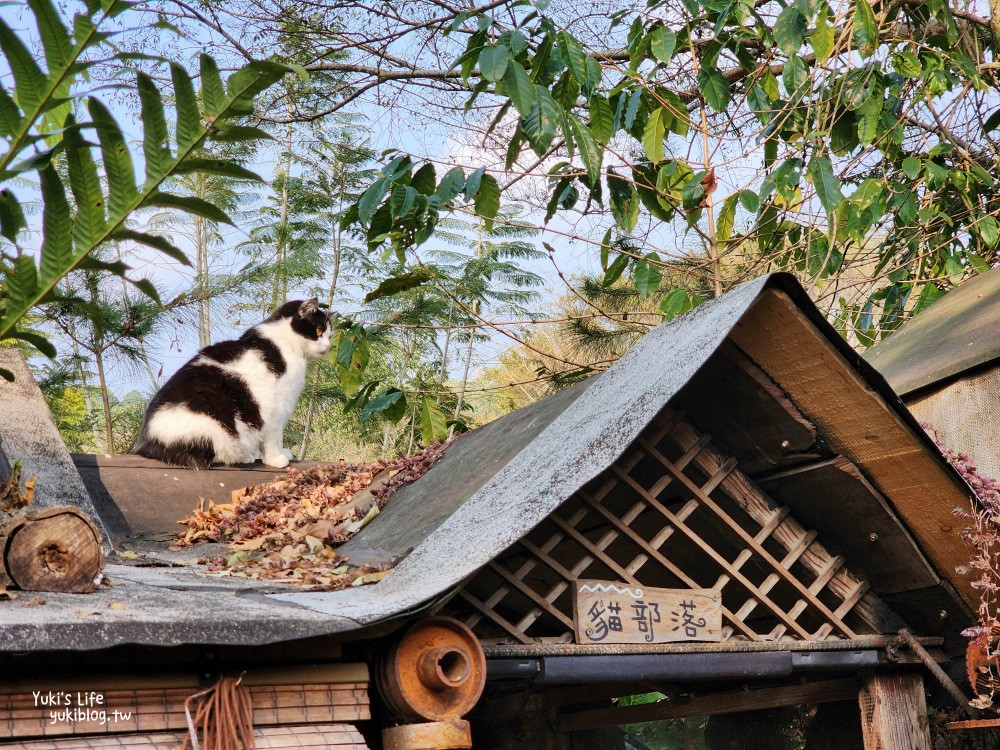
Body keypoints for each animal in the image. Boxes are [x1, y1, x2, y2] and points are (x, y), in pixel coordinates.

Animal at [133, 300, 334, 470]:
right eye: (318, 331)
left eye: (330, 335)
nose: (328, 346)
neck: (285, 343)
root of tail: (146, 442)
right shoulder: (277, 406)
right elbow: (273, 437)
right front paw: (276, 459)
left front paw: (282, 452)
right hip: (212, 423)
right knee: (208, 457)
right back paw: (242, 456)